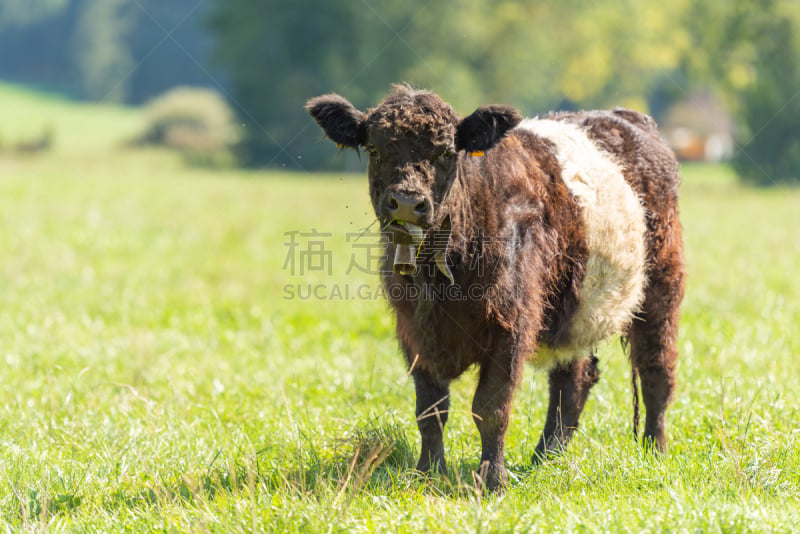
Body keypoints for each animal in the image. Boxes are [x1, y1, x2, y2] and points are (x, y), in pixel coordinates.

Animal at [304, 85, 684, 494]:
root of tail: (626, 117)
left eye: (446, 152)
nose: (406, 203)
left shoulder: (511, 325)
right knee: (573, 381)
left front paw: (492, 479)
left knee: (656, 370)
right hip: (577, 310)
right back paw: (546, 458)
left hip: (662, 286)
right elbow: (430, 410)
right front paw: (427, 473)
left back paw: (654, 451)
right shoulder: (414, 332)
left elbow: (490, 407)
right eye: (375, 149)